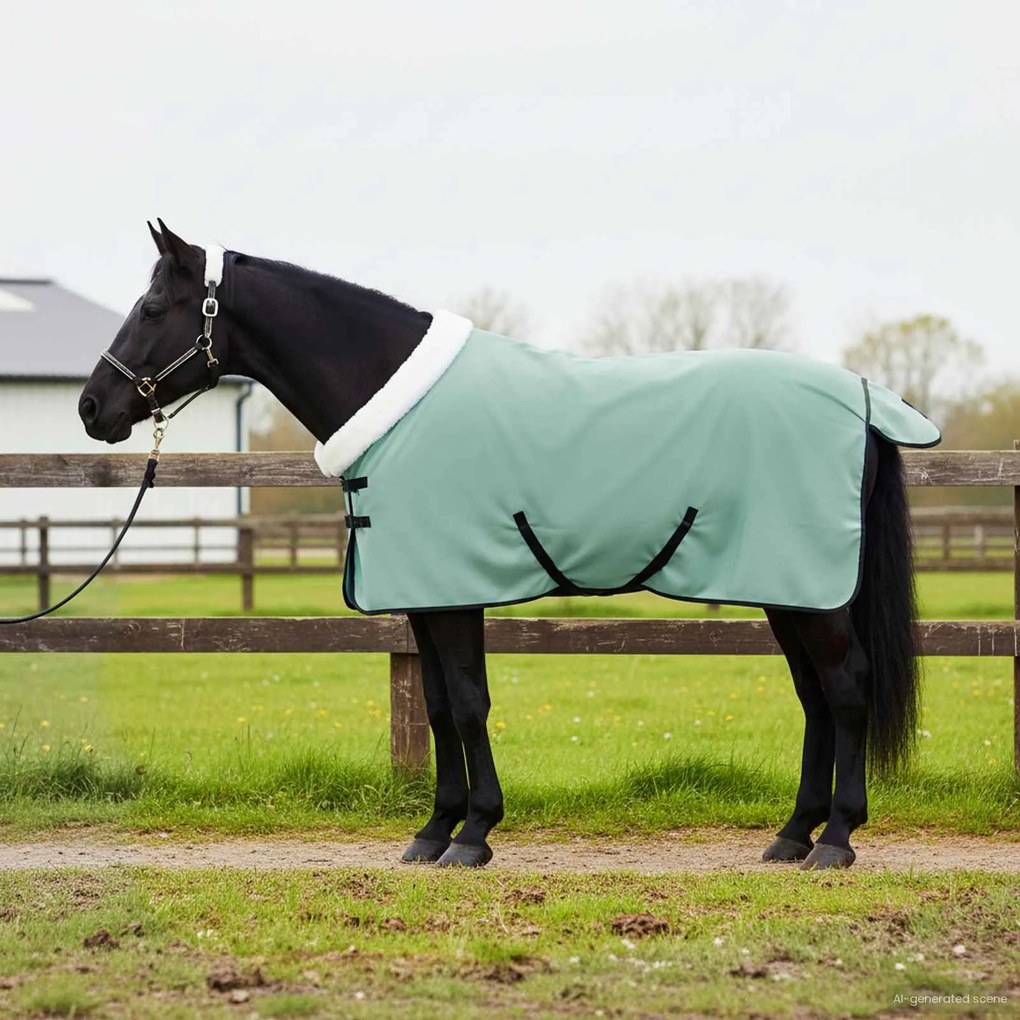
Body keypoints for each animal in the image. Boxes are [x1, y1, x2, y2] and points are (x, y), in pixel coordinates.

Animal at [79, 220, 938, 871]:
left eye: (153, 306)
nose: (92, 406)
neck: (395, 402)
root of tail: (864, 400)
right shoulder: (423, 597)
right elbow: (435, 707)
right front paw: (434, 832)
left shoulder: (454, 593)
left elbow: (466, 704)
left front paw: (474, 835)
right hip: (787, 588)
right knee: (816, 697)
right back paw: (792, 835)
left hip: (812, 593)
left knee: (847, 689)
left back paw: (836, 839)